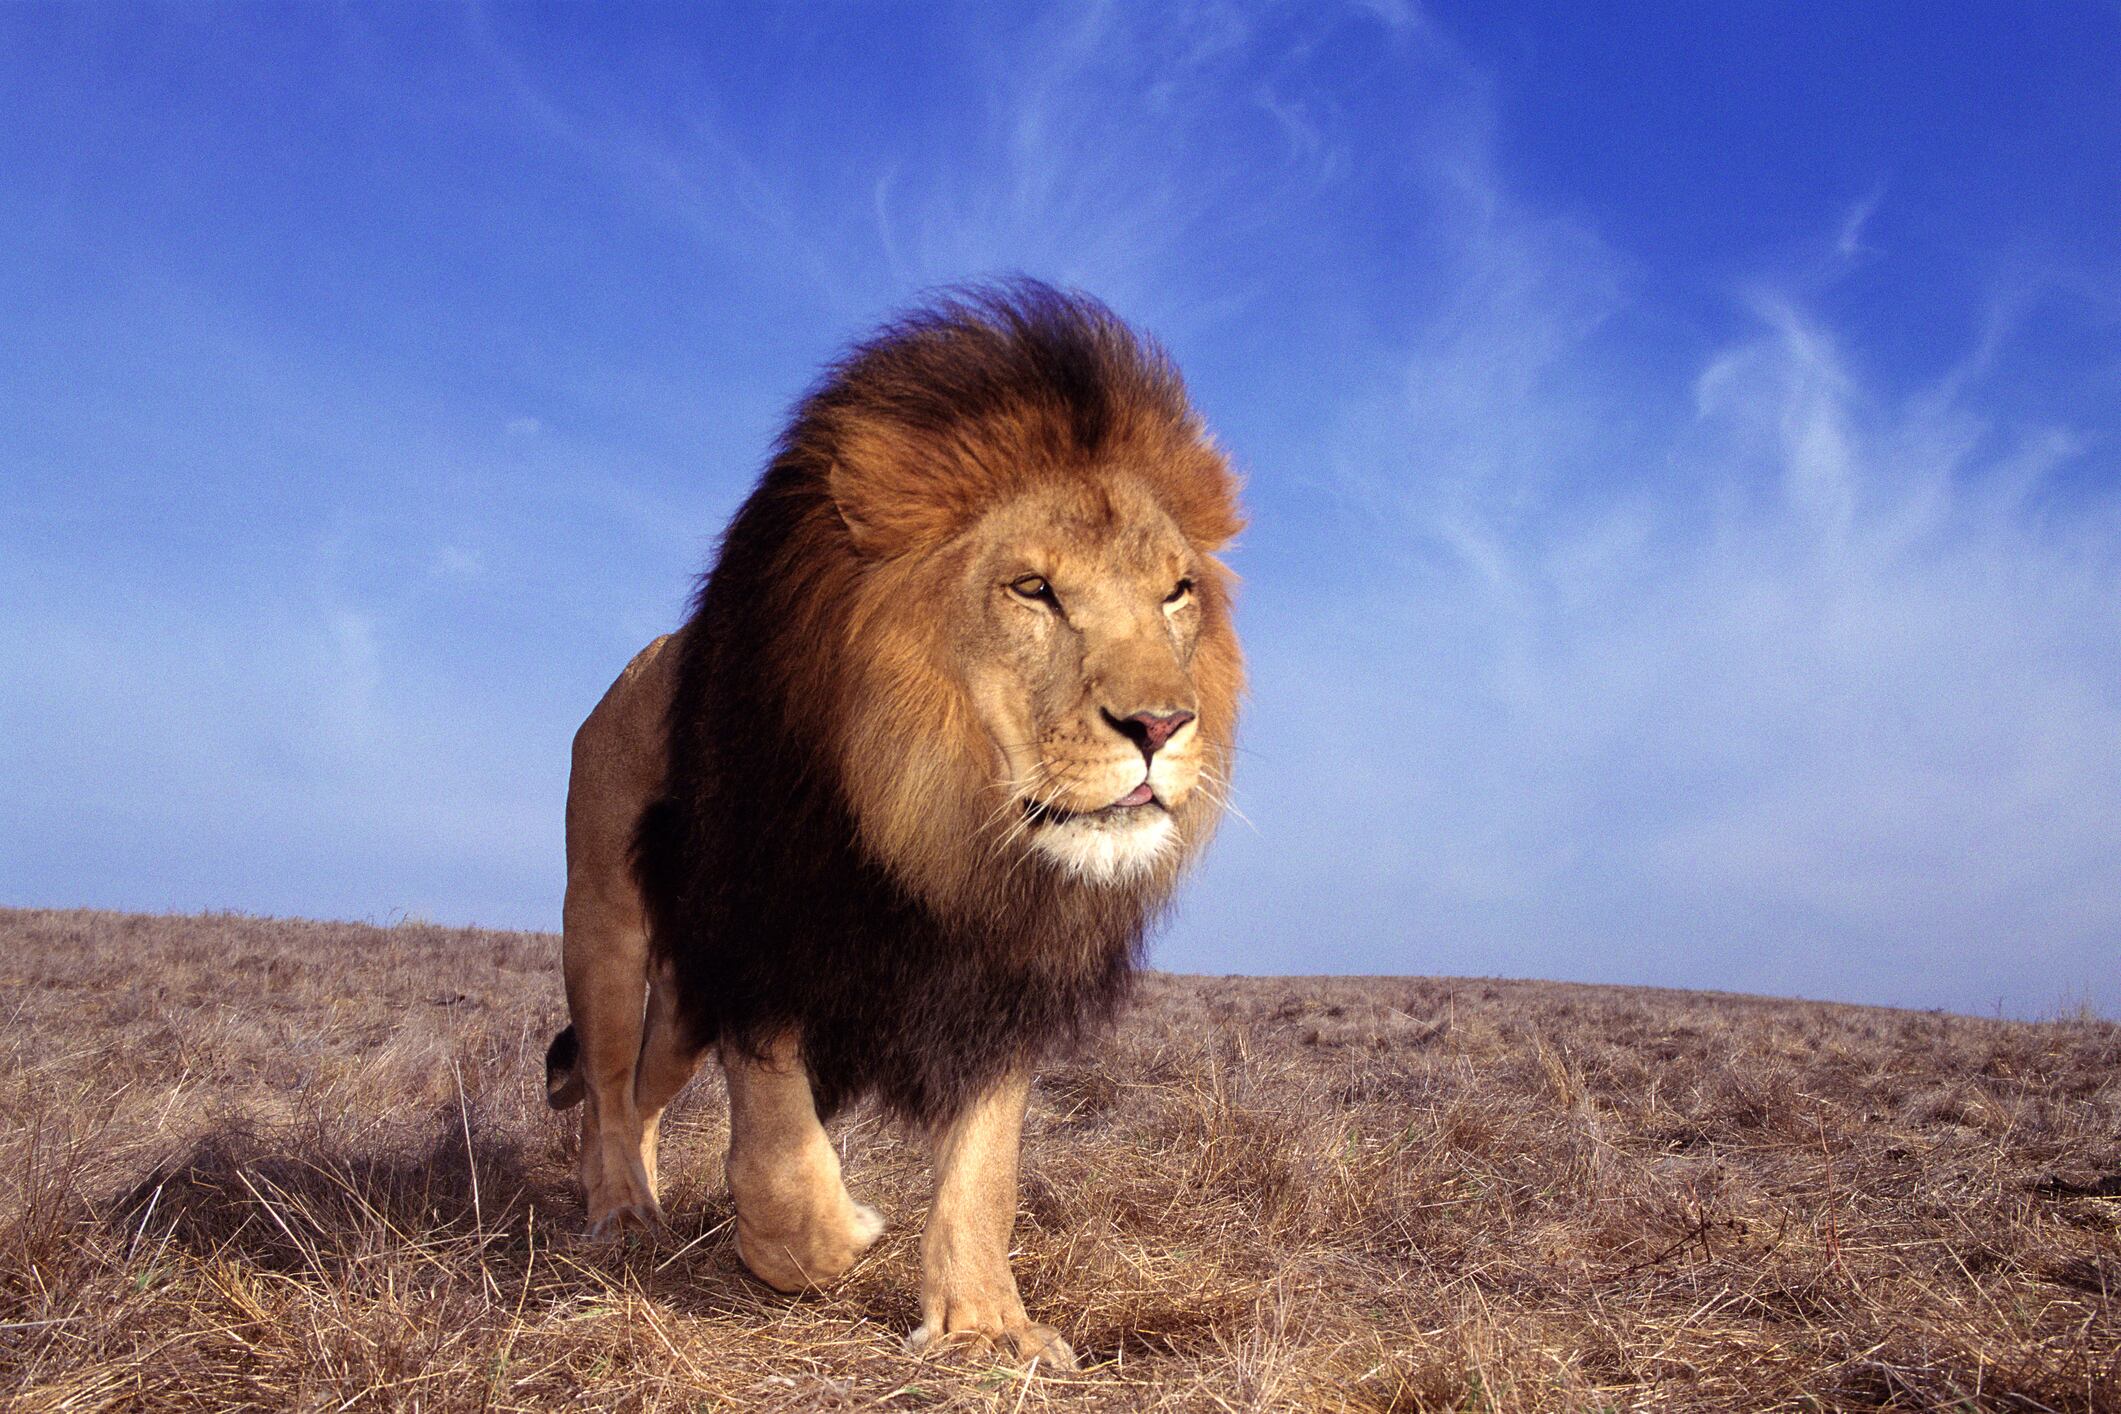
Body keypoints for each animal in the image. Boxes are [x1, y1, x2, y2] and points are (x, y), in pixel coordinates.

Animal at [543, 281, 1243, 1370]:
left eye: (1176, 592)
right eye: (1032, 588)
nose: (1164, 726)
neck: (937, 821)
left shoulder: (1004, 975)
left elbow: (987, 1168)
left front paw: (984, 1323)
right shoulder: (761, 932)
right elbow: (779, 1148)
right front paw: (819, 1245)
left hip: (682, 1002)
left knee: (644, 1094)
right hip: (610, 934)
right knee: (610, 1085)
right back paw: (617, 1212)